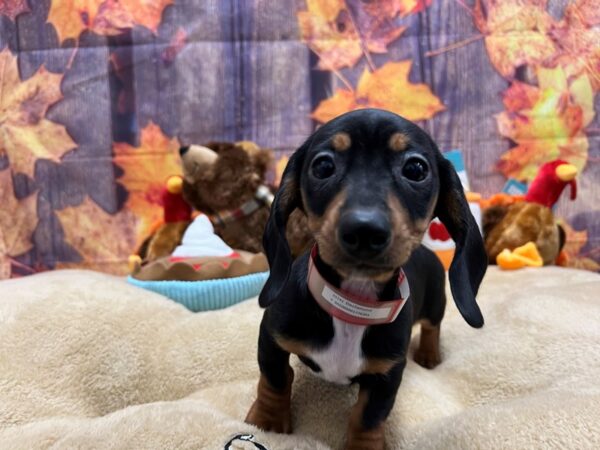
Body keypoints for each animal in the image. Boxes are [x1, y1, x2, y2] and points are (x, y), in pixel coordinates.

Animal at [244, 109, 488, 450]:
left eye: (416, 169)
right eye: (322, 166)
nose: (364, 230)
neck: (352, 302)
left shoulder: (388, 373)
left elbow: (368, 416)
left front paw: (364, 445)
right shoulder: (271, 337)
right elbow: (275, 380)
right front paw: (266, 423)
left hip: (436, 303)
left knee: (432, 326)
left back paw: (429, 355)